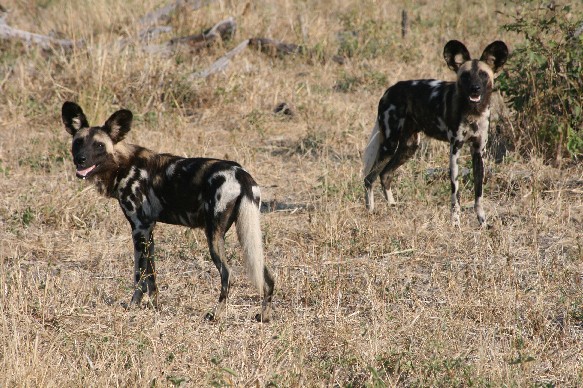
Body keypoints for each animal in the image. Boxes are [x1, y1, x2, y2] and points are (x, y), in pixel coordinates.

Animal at [61, 101, 276, 322]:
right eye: (78, 142)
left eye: (99, 145)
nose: (80, 159)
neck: (123, 164)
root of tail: (241, 174)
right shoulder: (148, 231)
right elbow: (151, 277)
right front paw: (155, 307)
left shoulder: (139, 229)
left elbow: (139, 276)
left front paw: (133, 306)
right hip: (247, 237)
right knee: (267, 278)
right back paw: (263, 317)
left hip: (214, 237)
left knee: (227, 274)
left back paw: (215, 314)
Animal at [362, 38, 508, 227]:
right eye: (465, 75)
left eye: (483, 74)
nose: (475, 88)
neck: (473, 112)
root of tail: (389, 90)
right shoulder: (455, 150)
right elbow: (456, 195)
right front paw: (455, 224)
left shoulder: (478, 153)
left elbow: (479, 195)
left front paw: (482, 223)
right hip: (389, 144)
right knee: (369, 178)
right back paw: (370, 212)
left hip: (409, 147)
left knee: (385, 174)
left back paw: (393, 207)